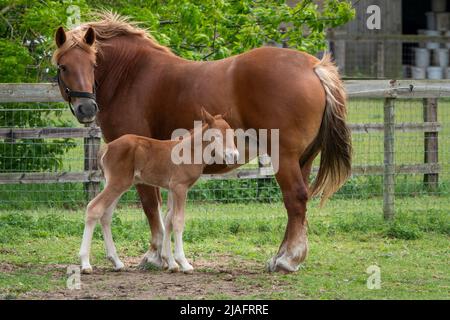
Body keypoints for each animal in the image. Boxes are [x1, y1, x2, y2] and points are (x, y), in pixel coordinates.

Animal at [79, 109, 239, 274]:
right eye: (217, 135)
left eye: (232, 133)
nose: (234, 156)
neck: (190, 151)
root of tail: (107, 147)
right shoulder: (180, 187)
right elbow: (178, 221)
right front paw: (183, 263)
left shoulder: (172, 189)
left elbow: (168, 220)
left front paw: (171, 263)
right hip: (118, 183)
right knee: (94, 208)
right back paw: (85, 264)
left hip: (115, 184)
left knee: (106, 216)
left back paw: (116, 262)